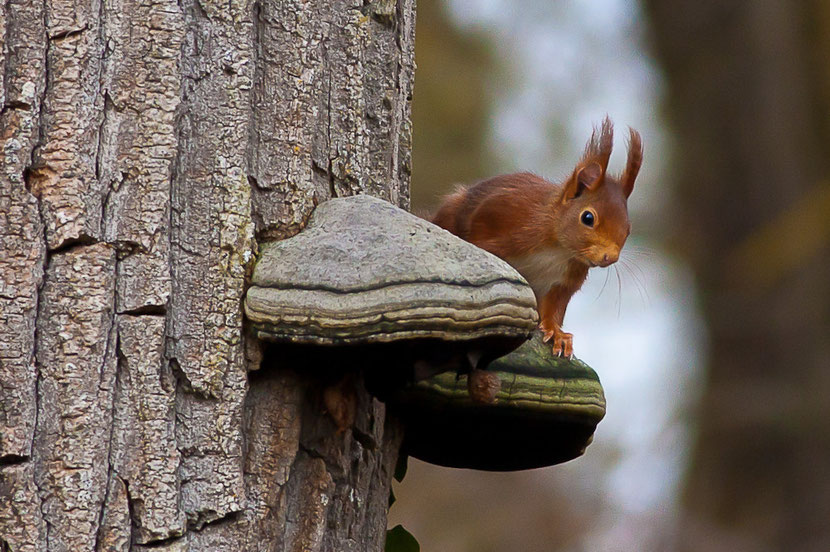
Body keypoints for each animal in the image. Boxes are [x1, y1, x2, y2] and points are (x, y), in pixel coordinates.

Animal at [432, 117, 640, 358]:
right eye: (588, 217)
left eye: (628, 228)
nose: (611, 257)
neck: (558, 248)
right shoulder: (499, 216)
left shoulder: (566, 279)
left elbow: (554, 308)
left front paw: (557, 333)